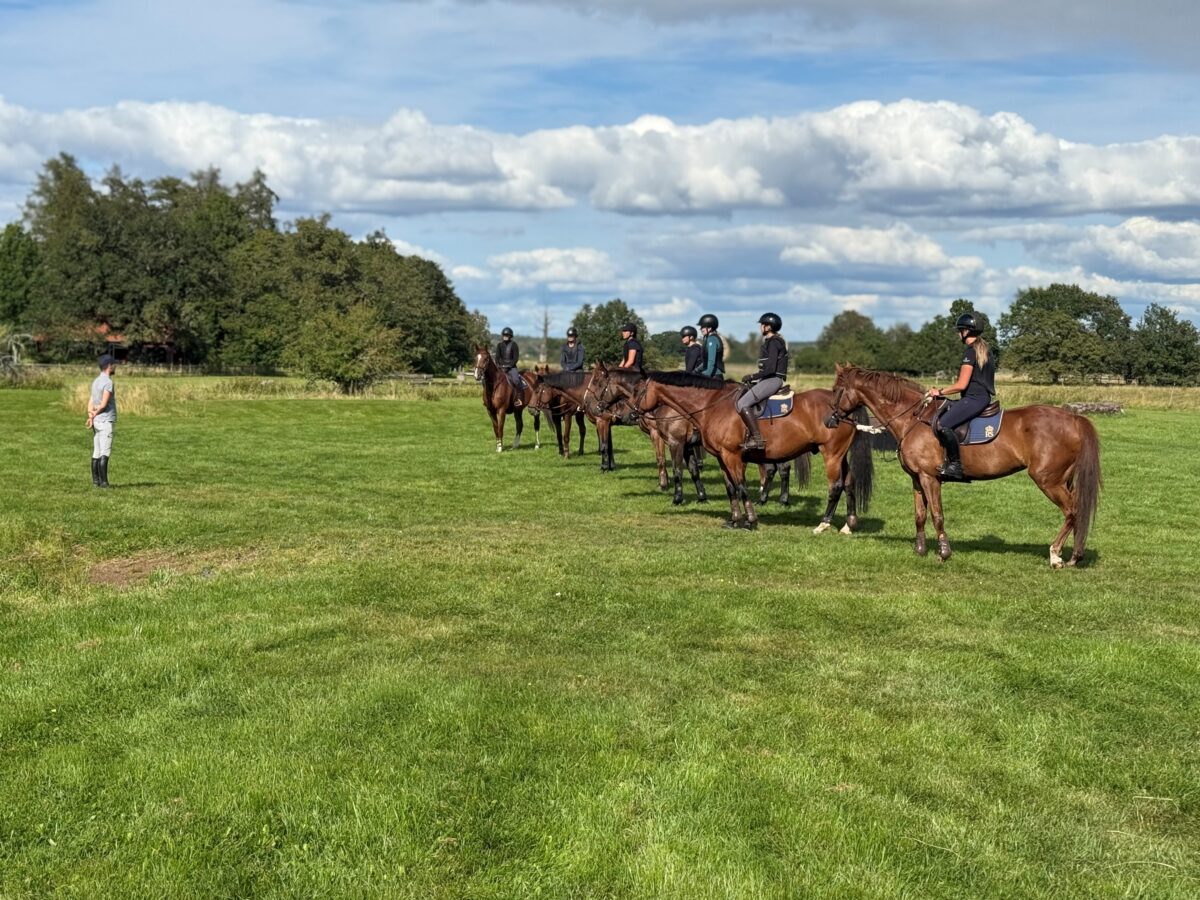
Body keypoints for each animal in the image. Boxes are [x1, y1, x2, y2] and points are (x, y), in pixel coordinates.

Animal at [591, 365, 872, 531]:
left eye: (597, 383)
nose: (624, 414)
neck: (710, 405)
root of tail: (843, 407)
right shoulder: (719, 457)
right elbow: (728, 488)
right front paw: (734, 519)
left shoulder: (724, 453)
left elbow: (738, 485)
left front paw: (750, 521)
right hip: (840, 455)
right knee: (848, 483)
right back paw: (849, 523)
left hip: (831, 454)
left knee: (834, 485)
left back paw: (823, 523)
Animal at [825, 364, 1101, 566]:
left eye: (837, 389)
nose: (829, 421)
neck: (912, 419)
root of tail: (1074, 418)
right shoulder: (916, 479)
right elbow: (919, 515)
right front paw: (920, 550)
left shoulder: (930, 478)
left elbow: (937, 515)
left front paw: (944, 553)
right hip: (1063, 479)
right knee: (1077, 512)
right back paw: (1074, 554)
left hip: (1048, 480)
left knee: (1072, 511)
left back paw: (1056, 555)